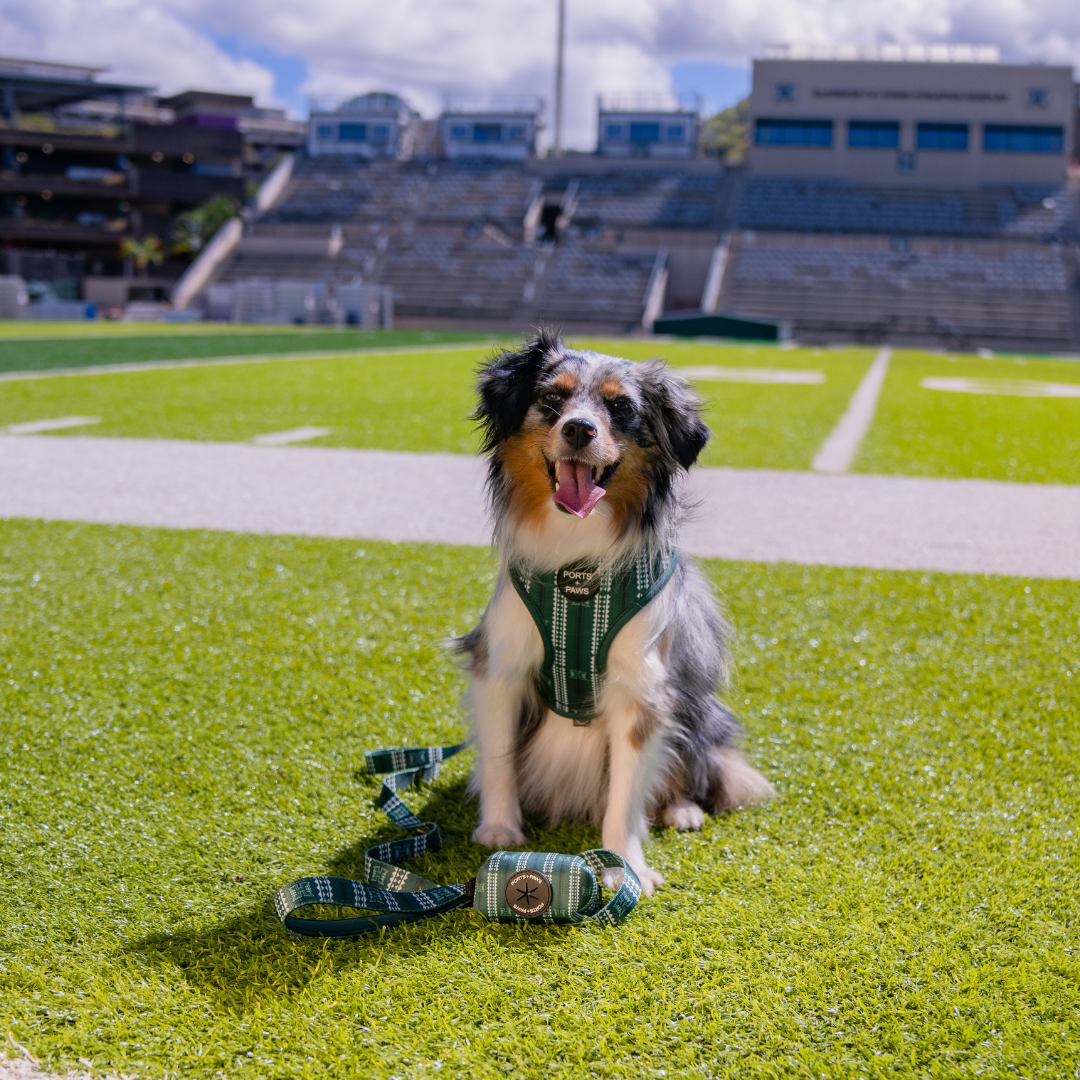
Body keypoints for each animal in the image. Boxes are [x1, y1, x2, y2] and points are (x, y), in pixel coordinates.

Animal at [453, 330, 768, 894]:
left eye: (621, 407)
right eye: (551, 397)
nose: (579, 428)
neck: (578, 571)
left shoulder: (641, 687)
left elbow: (625, 795)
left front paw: (628, 866)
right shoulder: (502, 666)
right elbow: (499, 759)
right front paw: (500, 829)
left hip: (700, 708)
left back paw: (683, 810)